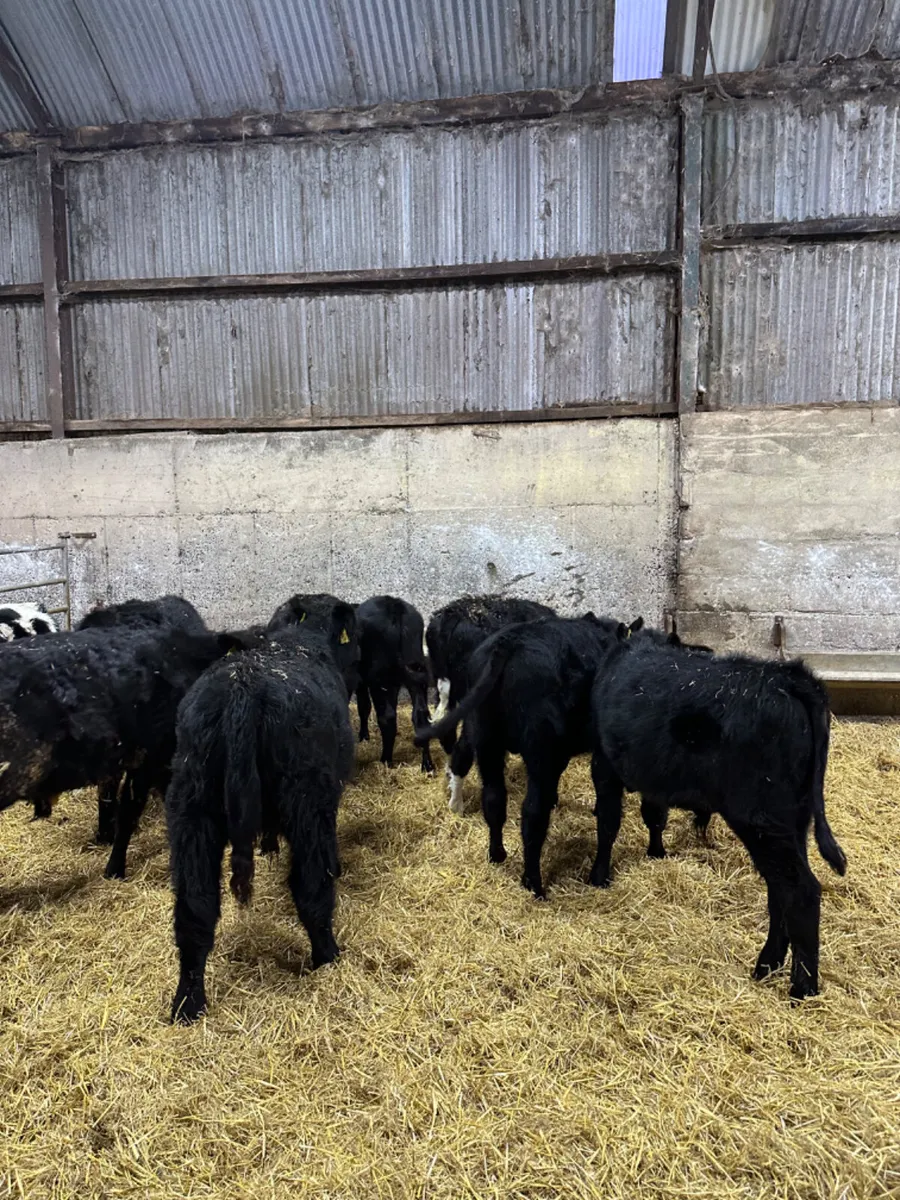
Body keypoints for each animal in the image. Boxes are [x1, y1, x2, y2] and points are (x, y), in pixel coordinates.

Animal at [166, 601, 359, 1023]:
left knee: (195, 908)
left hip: (192, 809)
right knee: (311, 887)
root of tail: (244, 689)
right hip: (306, 803)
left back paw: (188, 1004)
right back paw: (328, 958)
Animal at [353, 596, 432, 772]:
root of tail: (395, 606)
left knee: (387, 717)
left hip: (380, 678)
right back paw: (427, 766)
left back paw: (385, 760)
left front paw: (363, 736)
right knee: (421, 716)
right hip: (416, 671)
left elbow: (364, 706)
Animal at [588, 637, 847, 999]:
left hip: (760, 818)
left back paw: (801, 988)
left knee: (800, 890)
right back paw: (767, 965)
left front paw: (599, 875)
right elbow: (652, 815)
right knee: (779, 889)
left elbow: (608, 823)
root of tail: (789, 677)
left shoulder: (604, 764)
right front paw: (655, 853)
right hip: (795, 818)